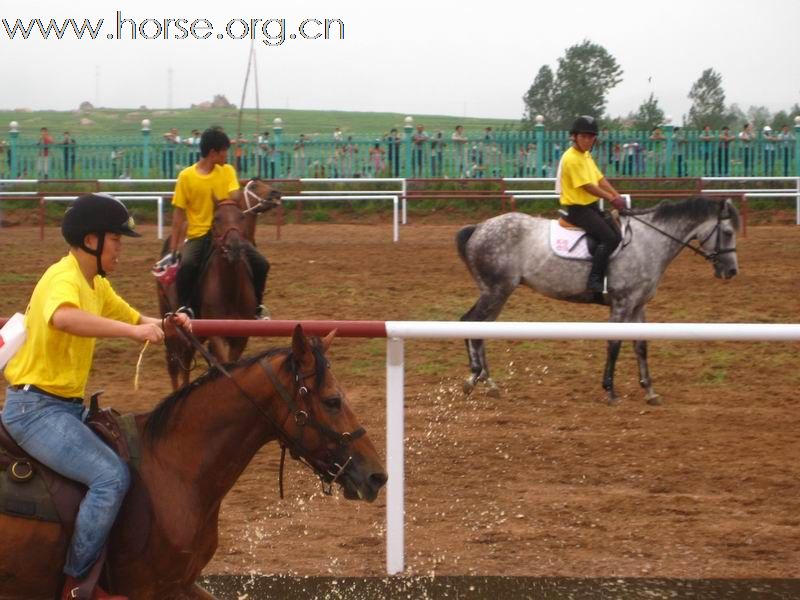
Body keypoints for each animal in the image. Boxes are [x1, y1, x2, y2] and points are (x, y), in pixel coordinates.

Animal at [157, 180, 282, 392]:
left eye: (241, 217)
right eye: (216, 218)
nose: (275, 193)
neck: (230, 288)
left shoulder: (240, 337)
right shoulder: (216, 335)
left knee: (187, 356)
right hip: (170, 323)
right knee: (173, 362)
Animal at [454, 199, 740, 406]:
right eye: (727, 232)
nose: (731, 271)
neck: (649, 242)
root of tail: (478, 228)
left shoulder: (638, 305)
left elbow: (641, 346)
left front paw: (650, 391)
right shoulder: (622, 303)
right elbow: (614, 345)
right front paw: (610, 391)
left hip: (498, 293)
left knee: (478, 328)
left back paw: (488, 383)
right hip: (496, 291)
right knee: (471, 323)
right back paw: (474, 377)